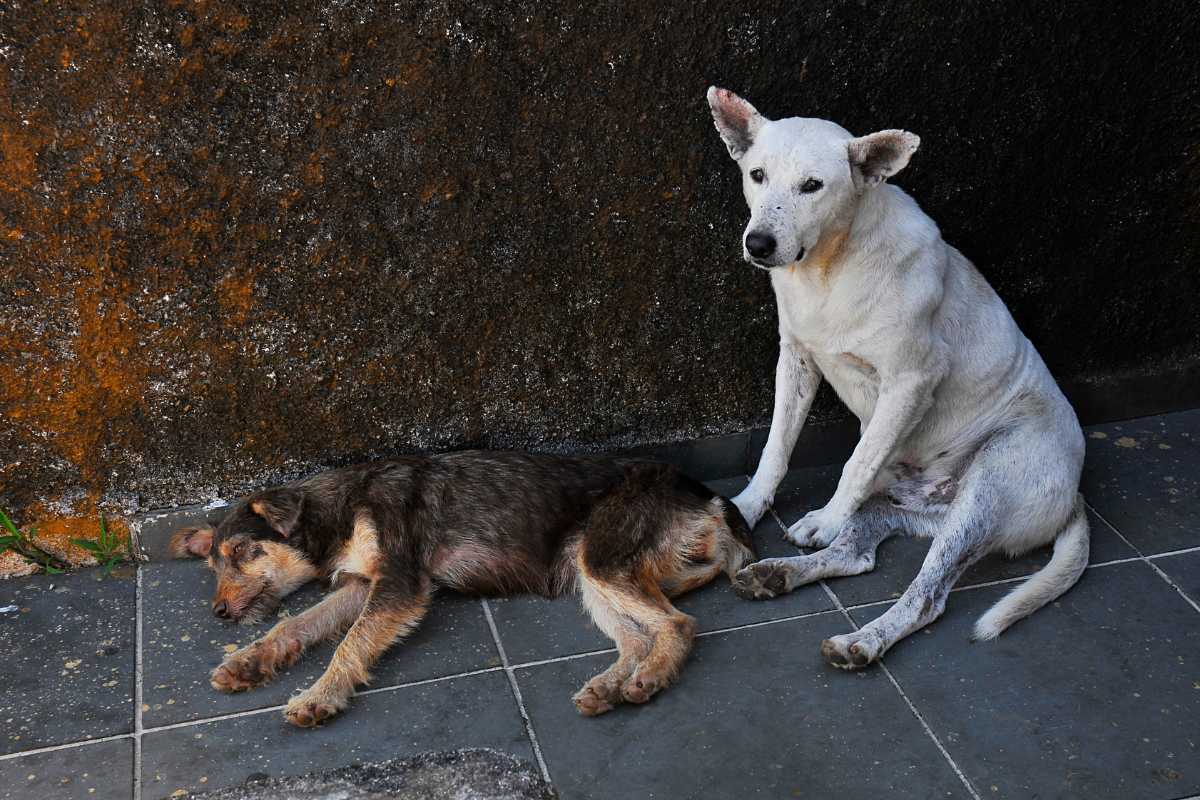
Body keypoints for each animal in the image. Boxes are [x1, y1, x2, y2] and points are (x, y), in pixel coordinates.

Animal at [171, 450, 748, 724]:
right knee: (637, 636)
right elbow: (298, 624)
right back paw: (608, 685)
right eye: (213, 566)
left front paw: (320, 695)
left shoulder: (399, 584)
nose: (218, 612)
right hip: (591, 572)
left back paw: (649, 677)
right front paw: (247, 661)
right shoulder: (361, 584)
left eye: (241, 552)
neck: (341, 506)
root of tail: (708, 499)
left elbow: (348, 644)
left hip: (604, 558)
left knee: (677, 623)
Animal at [705, 86, 1094, 671]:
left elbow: (855, 462)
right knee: (860, 551)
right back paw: (780, 573)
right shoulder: (796, 359)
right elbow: (776, 445)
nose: (760, 243)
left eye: (812, 185)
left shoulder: (909, 381)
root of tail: (1074, 496)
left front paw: (824, 517)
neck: (830, 268)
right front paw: (749, 506)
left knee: (927, 595)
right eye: (757, 174)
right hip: (903, 505)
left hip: (983, 494)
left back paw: (861, 639)